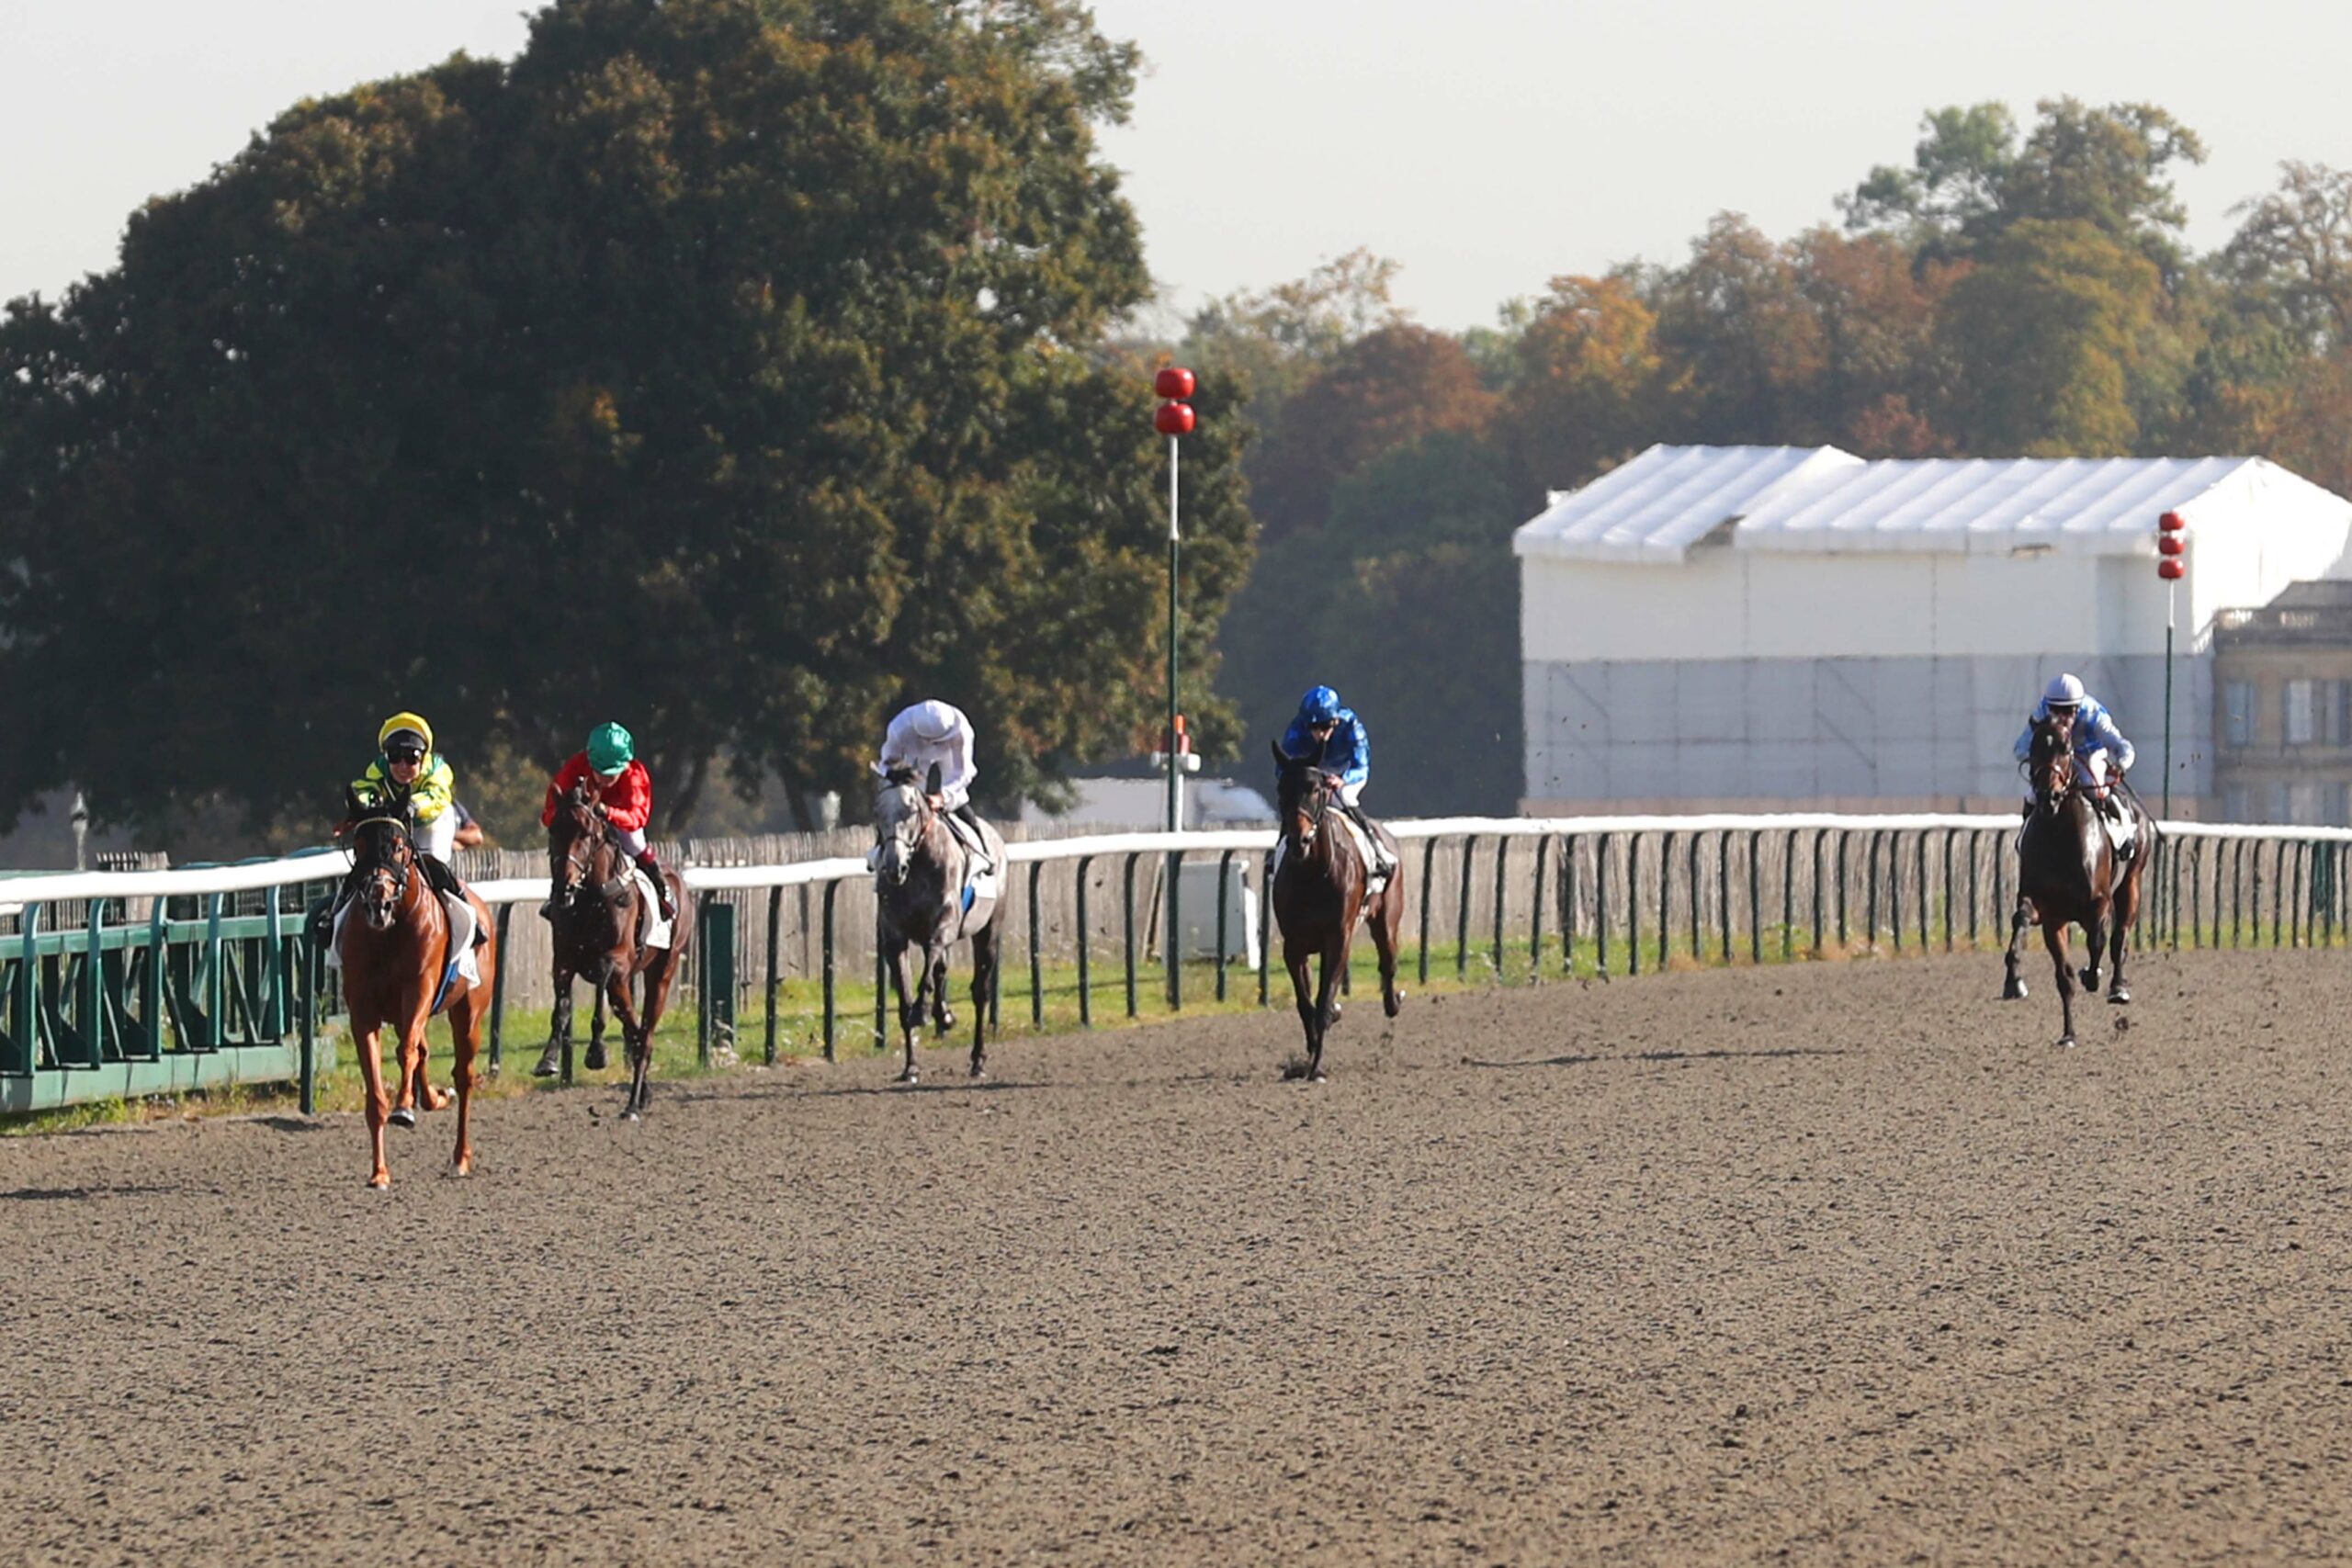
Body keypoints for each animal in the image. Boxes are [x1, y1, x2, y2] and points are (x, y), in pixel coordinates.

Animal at [336, 799, 496, 1189]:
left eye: (398, 845)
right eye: (358, 845)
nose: (377, 903)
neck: (388, 933)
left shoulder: (419, 990)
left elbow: (406, 1051)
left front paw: (403, 1108)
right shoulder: (363, 1011)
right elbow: (375, 1094)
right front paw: (379, 1172)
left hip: (468, 1013)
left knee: (463, 1076)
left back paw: (460, 1157)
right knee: (425, 1053)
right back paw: (433, 1098)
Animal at [529, 780, 686, 1123]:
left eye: (587, 833)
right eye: (554, 829)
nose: (564, 887)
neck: (590, 900)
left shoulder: (617, 962)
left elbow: (601, 983)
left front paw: (596, 1052)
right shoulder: (564, 959)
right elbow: (561, 1007)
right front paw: (548, 1059)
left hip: (662, 972)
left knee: (645, 1033)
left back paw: (632, 1105)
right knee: (634, 1028)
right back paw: (642, 1095)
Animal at [875, 766, 1001, 1086]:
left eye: (911, 810)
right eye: (877, 811)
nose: (894, 866)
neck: (918, 865)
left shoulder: (944, 923)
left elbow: (931, 962)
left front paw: (923, 1010)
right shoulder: (894, 939)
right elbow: (905, 999)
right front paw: (910, 1067)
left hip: (989, 930)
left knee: (980, 991)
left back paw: (978, 1059)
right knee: (942, 969)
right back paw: (943, 1015)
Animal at [1279, 747, 1401, 1081]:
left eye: (1316, 789)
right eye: (1281, 788)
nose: (1299, 841)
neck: (1312, 874)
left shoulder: (1338, 938)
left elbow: (1322, 1003)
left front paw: (1317, 1068)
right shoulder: (1293, 944)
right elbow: (1305, 1003)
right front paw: (1309, 1054)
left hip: (1386, 921)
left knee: (1388, 961)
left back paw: (1393, 1002)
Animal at [2004, 709, 2154, 1043]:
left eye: (2066, 749)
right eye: (2034, 747)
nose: (2049, 796)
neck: (2061, 838)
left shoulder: (2098, 903)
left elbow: (2098, 941)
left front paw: (2093, 975)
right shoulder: (2048, 912)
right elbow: (2056, 966)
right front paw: (2014, 981)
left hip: (2131, 883)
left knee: (2119, 935)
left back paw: (2117, 987)